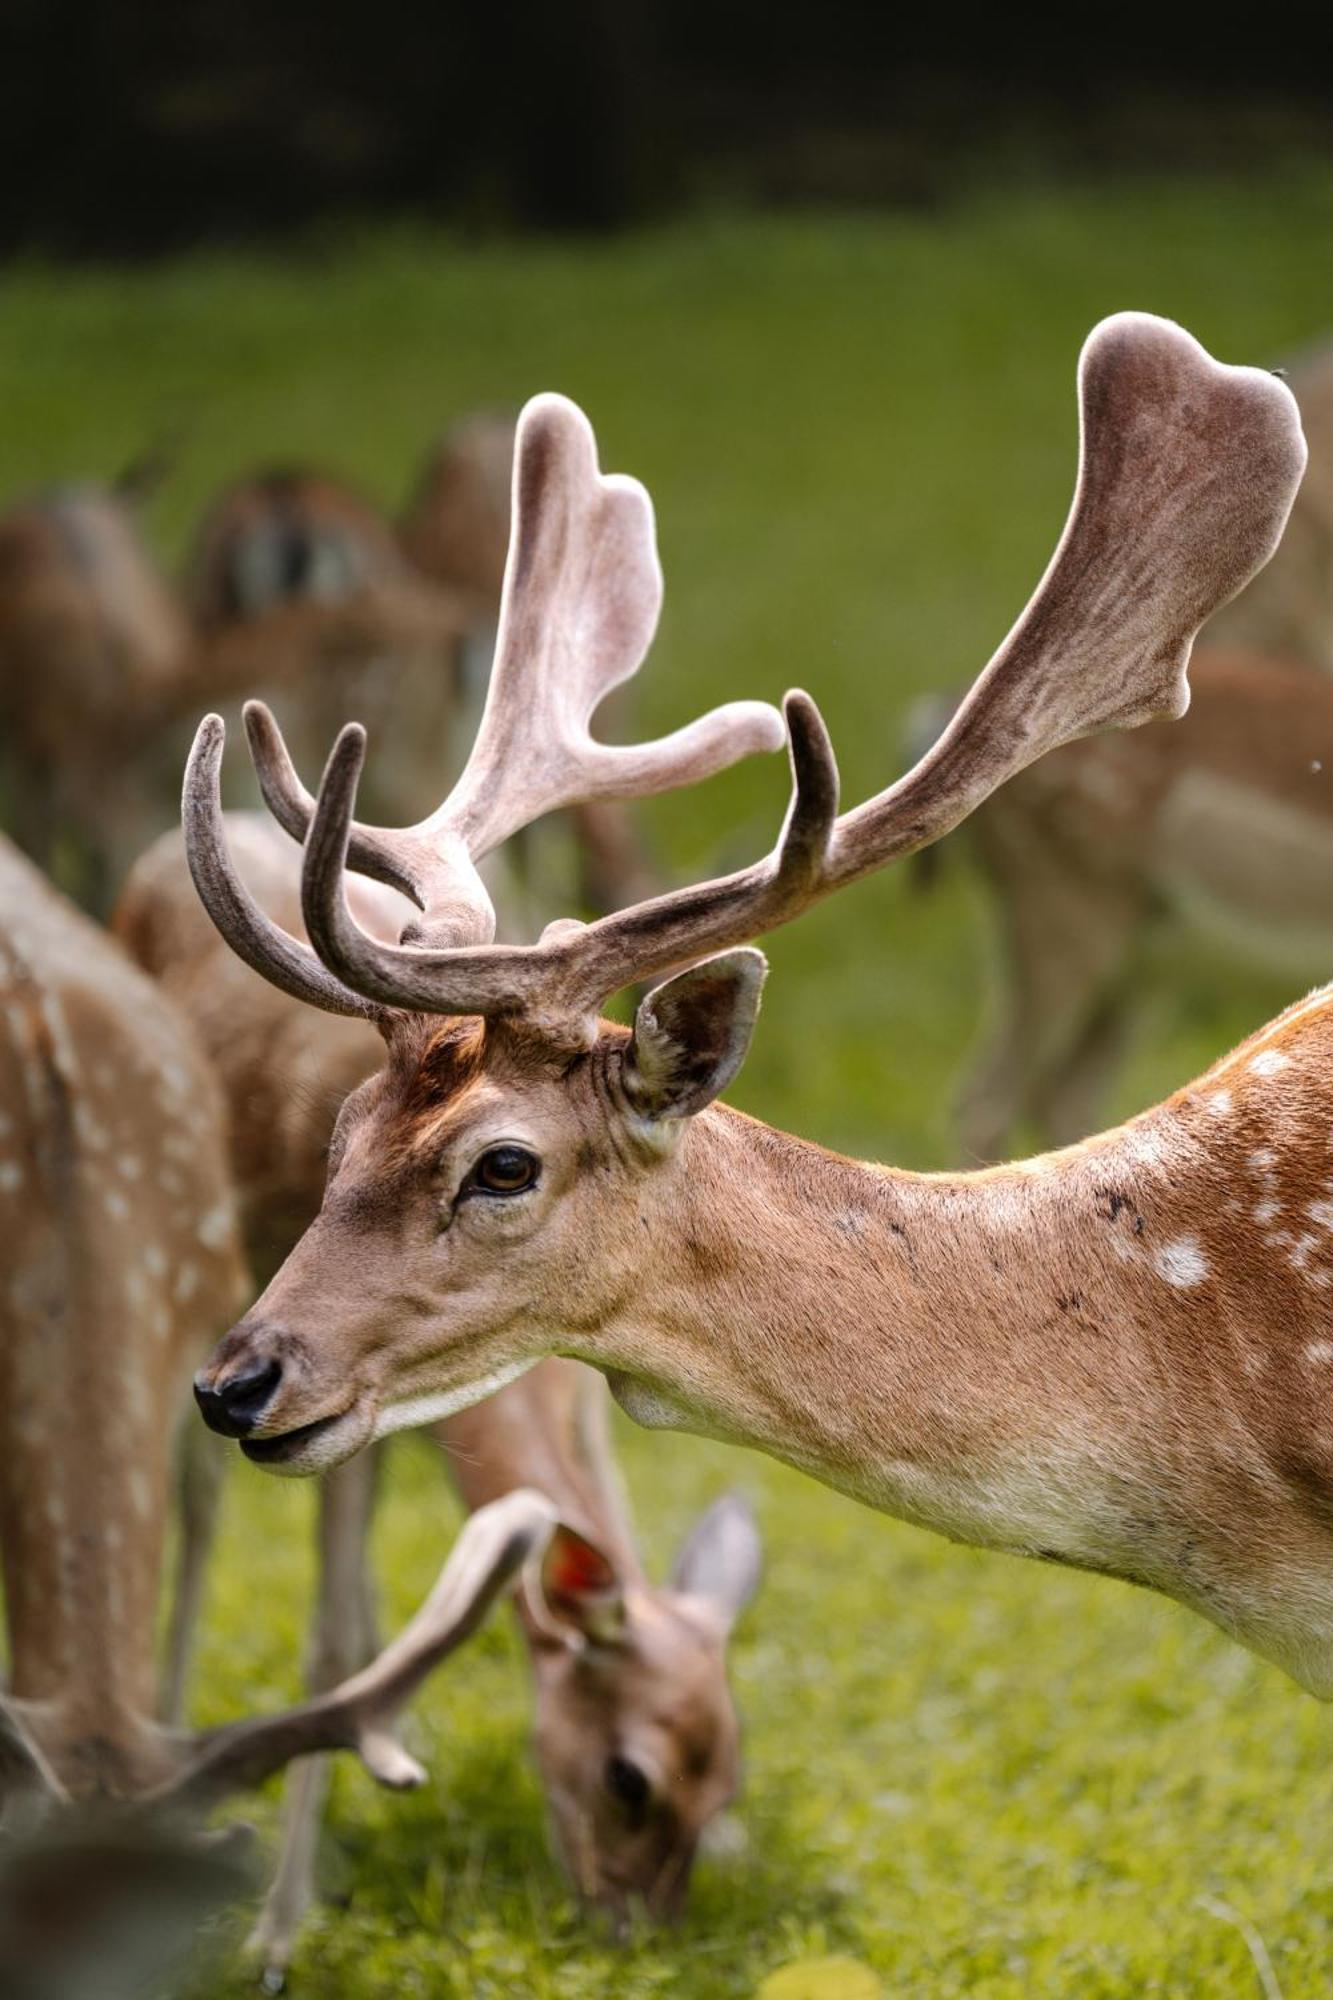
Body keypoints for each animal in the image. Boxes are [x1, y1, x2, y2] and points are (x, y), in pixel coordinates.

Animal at [119, 804, 764, 1960]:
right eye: (627, 1778)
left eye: (725, 1777)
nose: (638, 1937)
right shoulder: (321, 1400)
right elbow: (323, 1632)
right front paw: (277, 1930)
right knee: (194, 1500)